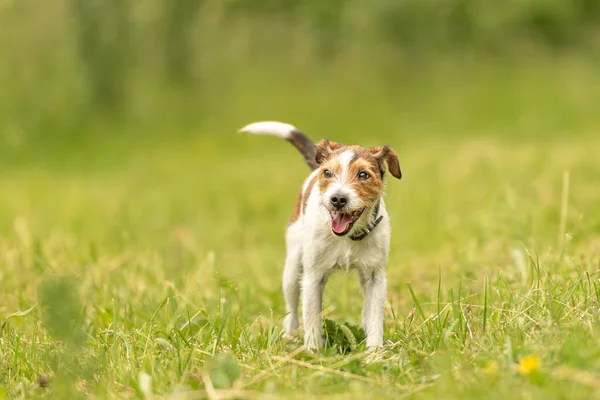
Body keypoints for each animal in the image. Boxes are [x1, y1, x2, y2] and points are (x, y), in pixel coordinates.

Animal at [239, 121, 404, 350]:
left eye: (363, 175)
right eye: (327, 173)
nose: (338, 199)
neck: (347, 238)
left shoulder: (375, 277)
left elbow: (374, 318)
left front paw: (374, 353)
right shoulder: (313, 277)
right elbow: (311, 320)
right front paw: (313, 351)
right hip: (292, 269)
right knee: (292, 310)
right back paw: (290, 338)